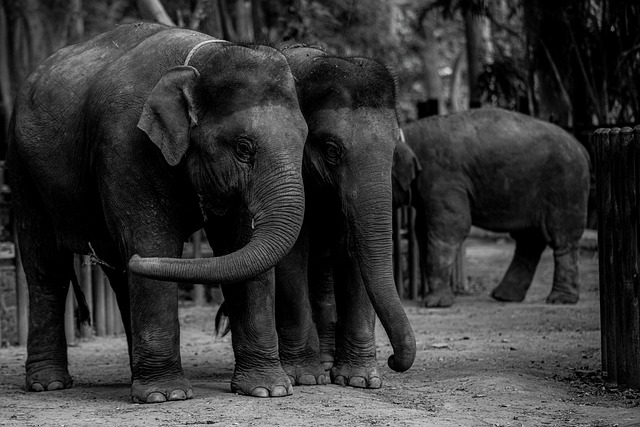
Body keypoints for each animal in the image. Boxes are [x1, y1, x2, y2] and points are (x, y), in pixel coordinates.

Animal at [6, 23, 308, 404]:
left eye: (304, 141)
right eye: (244, 147)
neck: (201, 61)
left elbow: (238, 243)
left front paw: (269, 390)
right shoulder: (127, 143)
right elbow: (153, 240)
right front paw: (167, 396)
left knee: (117, 271)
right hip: (21, 168)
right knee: (47, 268)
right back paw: (49, 384)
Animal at [272, 45, 420, 390]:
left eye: (394, 149)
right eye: (331, 150)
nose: (393, 361)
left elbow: (354, 252)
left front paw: (359, 380)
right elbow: (291, 253)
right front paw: (305, 377)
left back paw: (327, 361)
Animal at [392, 107, 592, 308]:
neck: (406, 135)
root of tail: (582, 147)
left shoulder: (443, 177)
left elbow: (451, 227)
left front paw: (435, 304)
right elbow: (422, 230)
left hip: (566, 184)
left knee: (561, 237)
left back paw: (560, 299)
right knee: (529, 239)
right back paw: (504, 296)